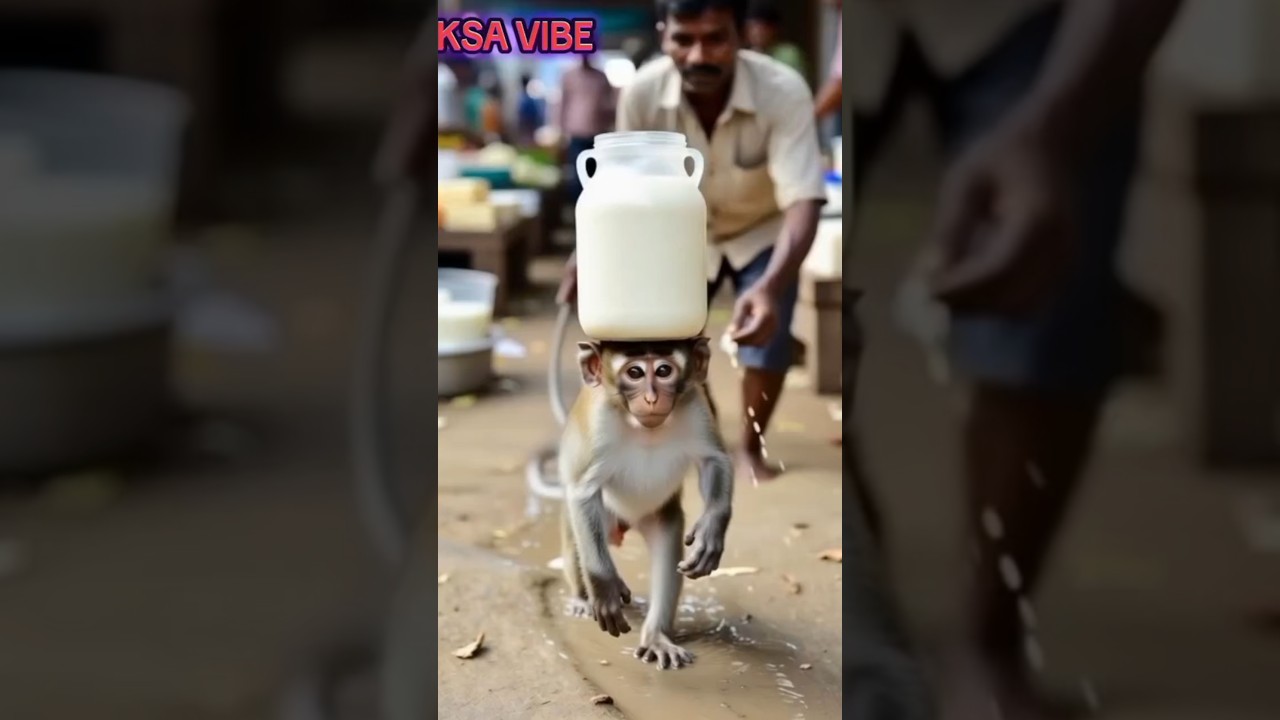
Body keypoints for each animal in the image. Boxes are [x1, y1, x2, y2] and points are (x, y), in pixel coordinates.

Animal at [558, 336, 734, 669]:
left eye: (664, 370)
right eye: (635, 372)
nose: (652, 398)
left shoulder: (696, 406)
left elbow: (714, 461)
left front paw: (710, 532)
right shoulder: (600, 422)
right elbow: (583, 492)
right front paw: (604, 587)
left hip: (657, 516)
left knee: (668, 549)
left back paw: (657, 637)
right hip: (604, 516)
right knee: (577, 538)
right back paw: (581, 598)